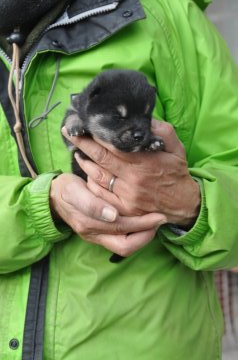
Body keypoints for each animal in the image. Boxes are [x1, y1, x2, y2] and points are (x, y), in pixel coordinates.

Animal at [62, 69, 165, 262]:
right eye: (118, 117)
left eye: (147, 116)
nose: (140, 135)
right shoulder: (72, 126)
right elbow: (71, 116)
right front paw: (76, 125)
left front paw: (154, 140)